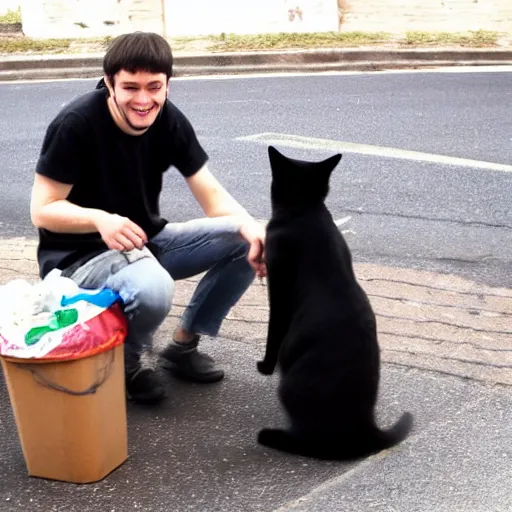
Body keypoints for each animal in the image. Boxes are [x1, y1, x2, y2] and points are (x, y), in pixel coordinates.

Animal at [258, 146, 414, 462]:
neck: (305, 210)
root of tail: (367, 427)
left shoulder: (277, 291)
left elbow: (273, 333)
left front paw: (265, 367)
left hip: (289, 389)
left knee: (314, 443)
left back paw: (271, 437)